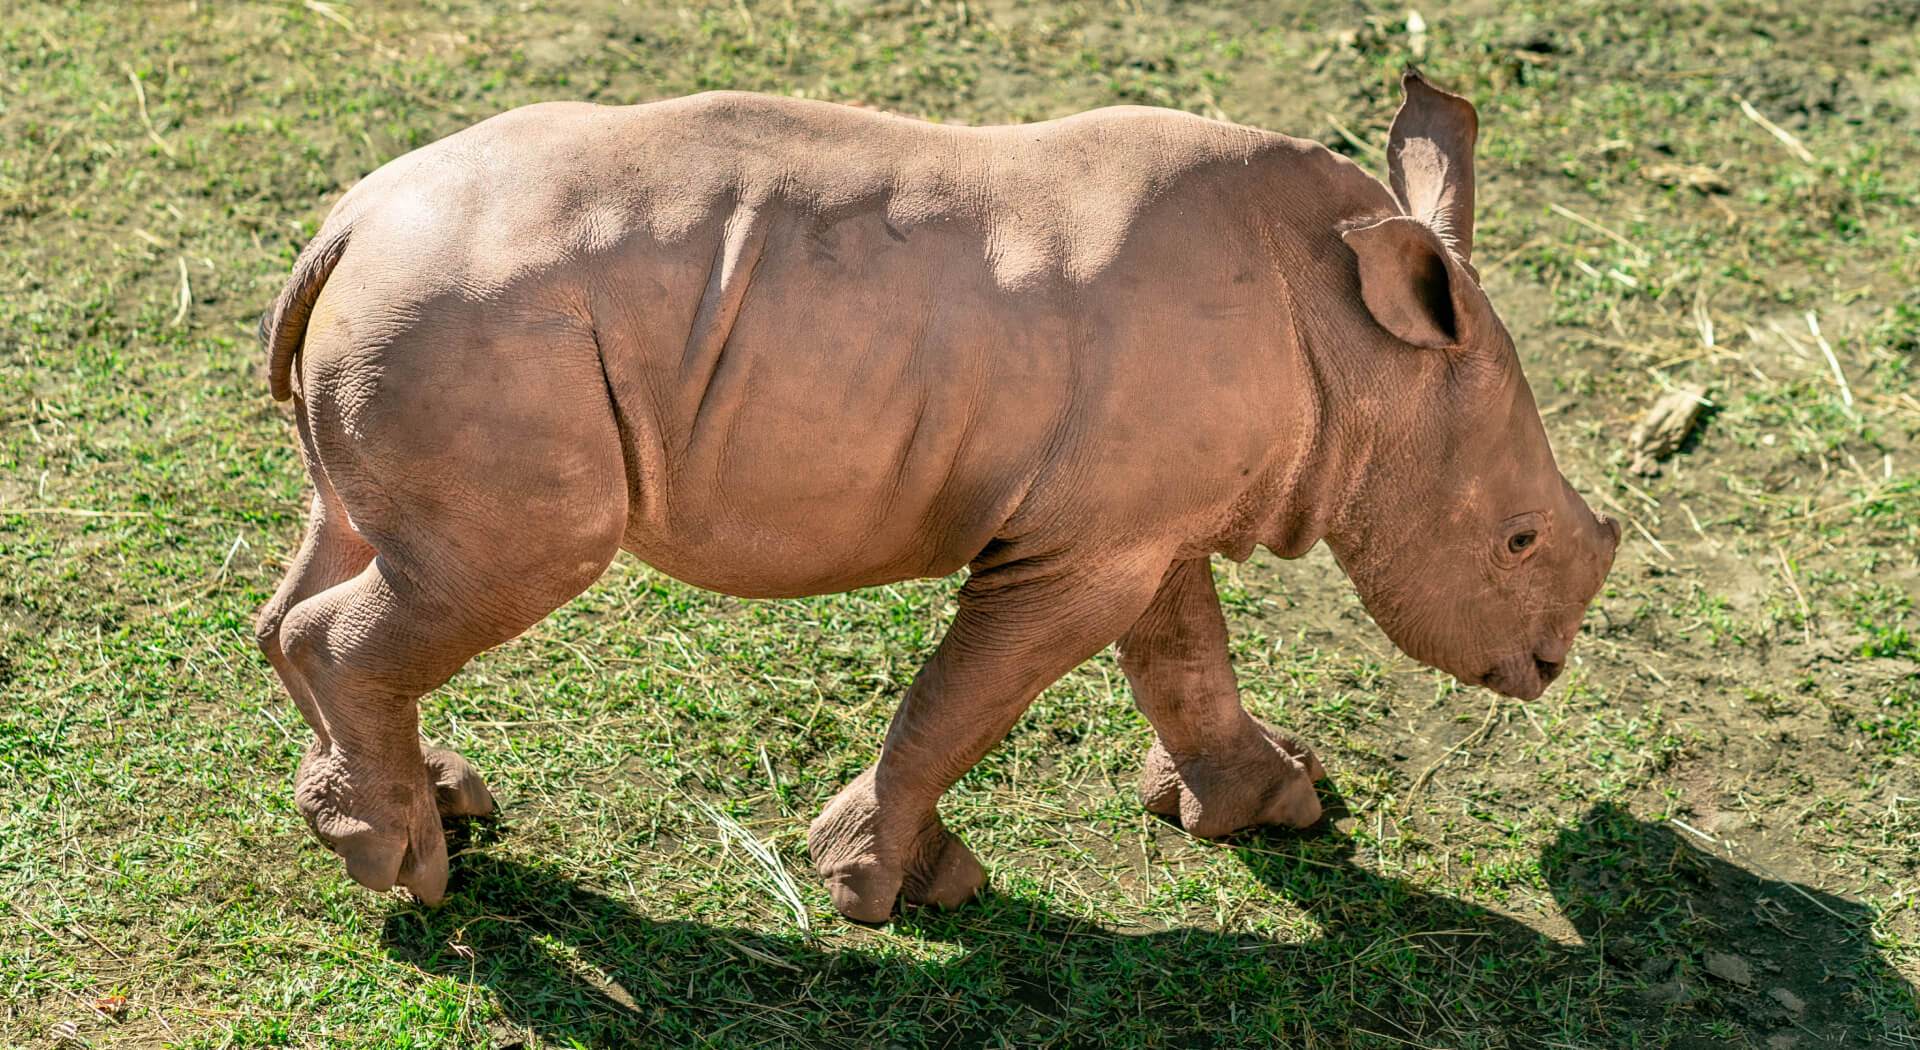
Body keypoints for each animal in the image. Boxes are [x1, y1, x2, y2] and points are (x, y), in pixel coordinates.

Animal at [255, 70, 1620, 921]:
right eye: (1517, 539)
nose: (1549, 670)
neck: (1359, 349)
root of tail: (348, 224)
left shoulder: (1142, 523)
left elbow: (1185, 657)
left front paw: (1270, 801)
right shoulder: (1079, 550)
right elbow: (969, 699)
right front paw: (889, 892)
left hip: (415, 328)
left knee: (347, 555)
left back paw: (414, 811)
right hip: (473, 334)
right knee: (496, 571)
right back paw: (408, 867)